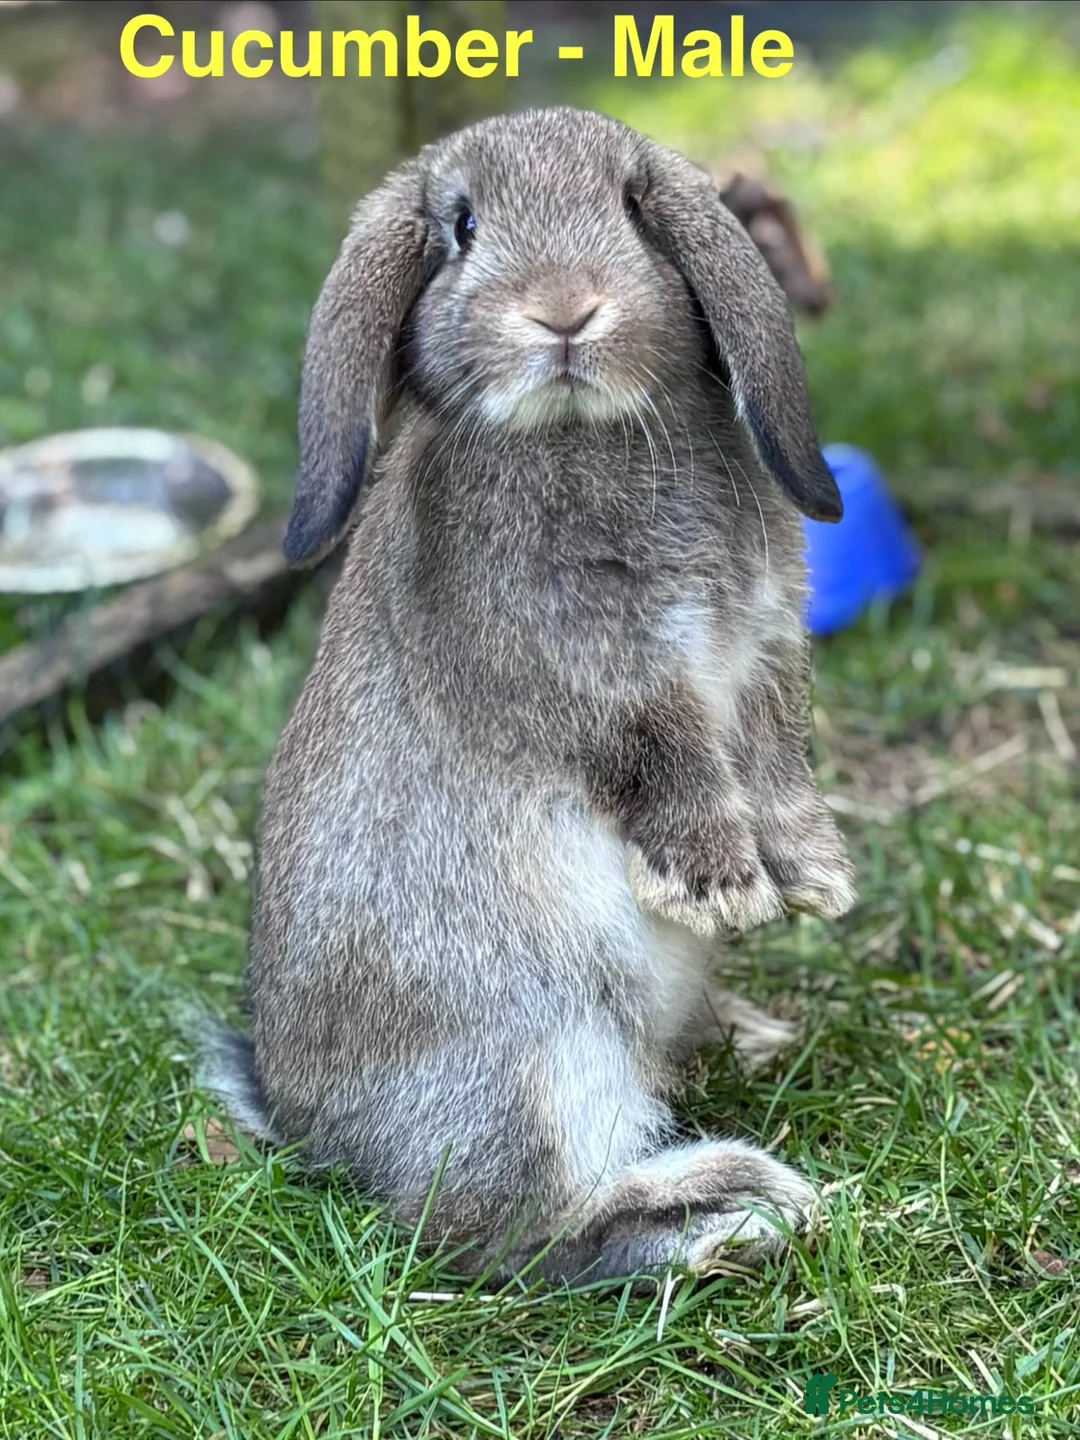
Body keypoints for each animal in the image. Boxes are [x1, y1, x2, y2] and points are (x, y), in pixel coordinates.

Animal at [205, 106, 857, 1284]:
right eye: (460, 228)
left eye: (637, 211)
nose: (563, 309)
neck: (581, 431)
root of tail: (315, 1130)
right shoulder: (607, 689)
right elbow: (668, 762)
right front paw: (724, 890)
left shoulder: (763, 656)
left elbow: (776, 764)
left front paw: (819, 882)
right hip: (543, 1058)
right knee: (529, 1234)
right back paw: (738, 1207)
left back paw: (748, 1042)